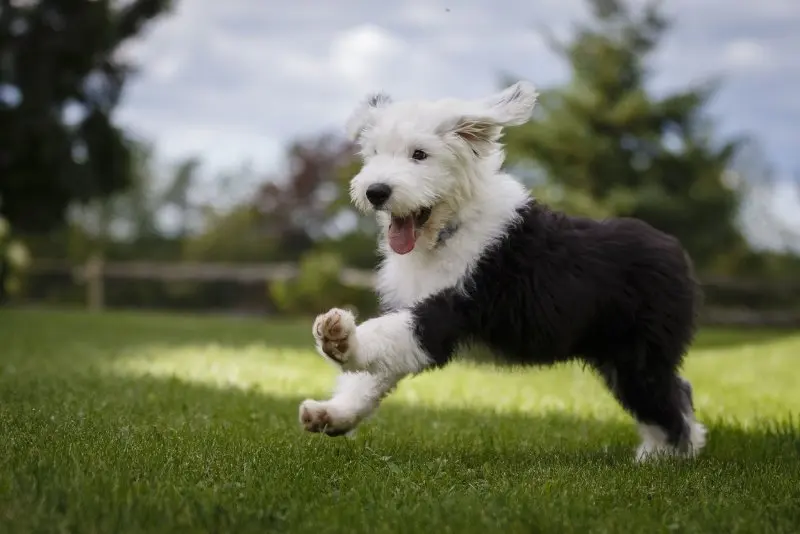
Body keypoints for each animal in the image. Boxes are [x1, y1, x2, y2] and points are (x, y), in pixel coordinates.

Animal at [298, 81, 708, 462]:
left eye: (420, 155)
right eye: (374, 153)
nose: (376, 191)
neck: (451, 228)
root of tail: (674, 250)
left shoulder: (449, 309)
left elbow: (385, 334)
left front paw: (339, 339)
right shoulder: (414, 305)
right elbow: (372, 375)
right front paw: (332, 414)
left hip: (638, 353)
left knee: (666, 399)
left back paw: (665, 457)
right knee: (678, 391)